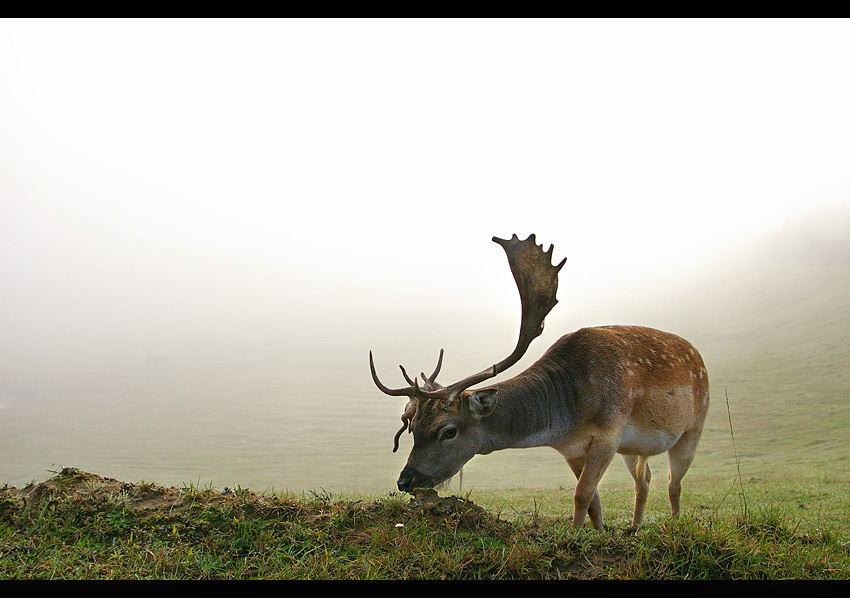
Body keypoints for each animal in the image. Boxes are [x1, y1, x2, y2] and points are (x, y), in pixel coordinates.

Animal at [368, 237, 704, 532]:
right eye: (413, 428)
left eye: (448, 431)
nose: (405, 480)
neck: (567, 414)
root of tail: (697, 354)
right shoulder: (571, 449)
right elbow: (593, 501)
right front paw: (599, 532)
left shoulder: (609, 432)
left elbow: (582, 494)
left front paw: (574, 535)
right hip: (633, 449)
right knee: (643, 479)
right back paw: (634, 527)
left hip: (693, 429)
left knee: (674, 483)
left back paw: (674, 523)